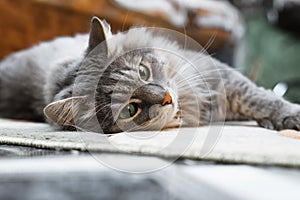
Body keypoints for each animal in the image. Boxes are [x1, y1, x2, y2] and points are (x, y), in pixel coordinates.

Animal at [0, 16, 300, 133]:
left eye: (143, 71)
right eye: (129, 110)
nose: (166, 97)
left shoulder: (221, 79)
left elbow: (260, 99)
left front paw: (287, 116)